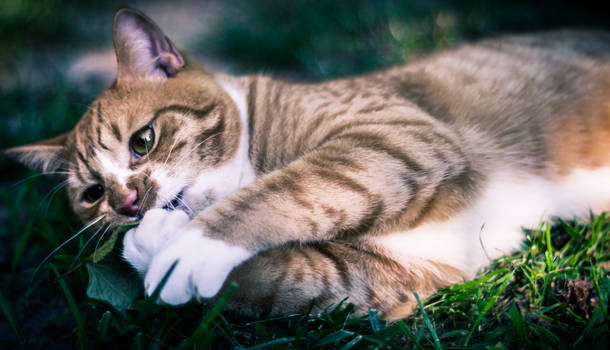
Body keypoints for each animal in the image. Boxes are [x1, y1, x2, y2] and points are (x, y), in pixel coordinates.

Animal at [4, 7, 608, 320]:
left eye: (143, 141)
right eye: (92, 195)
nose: (129, 205)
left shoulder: (395, 137)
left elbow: (291, 189)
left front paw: (190, 246)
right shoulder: (389, 278)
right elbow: (280, 279)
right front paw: (151, 251)